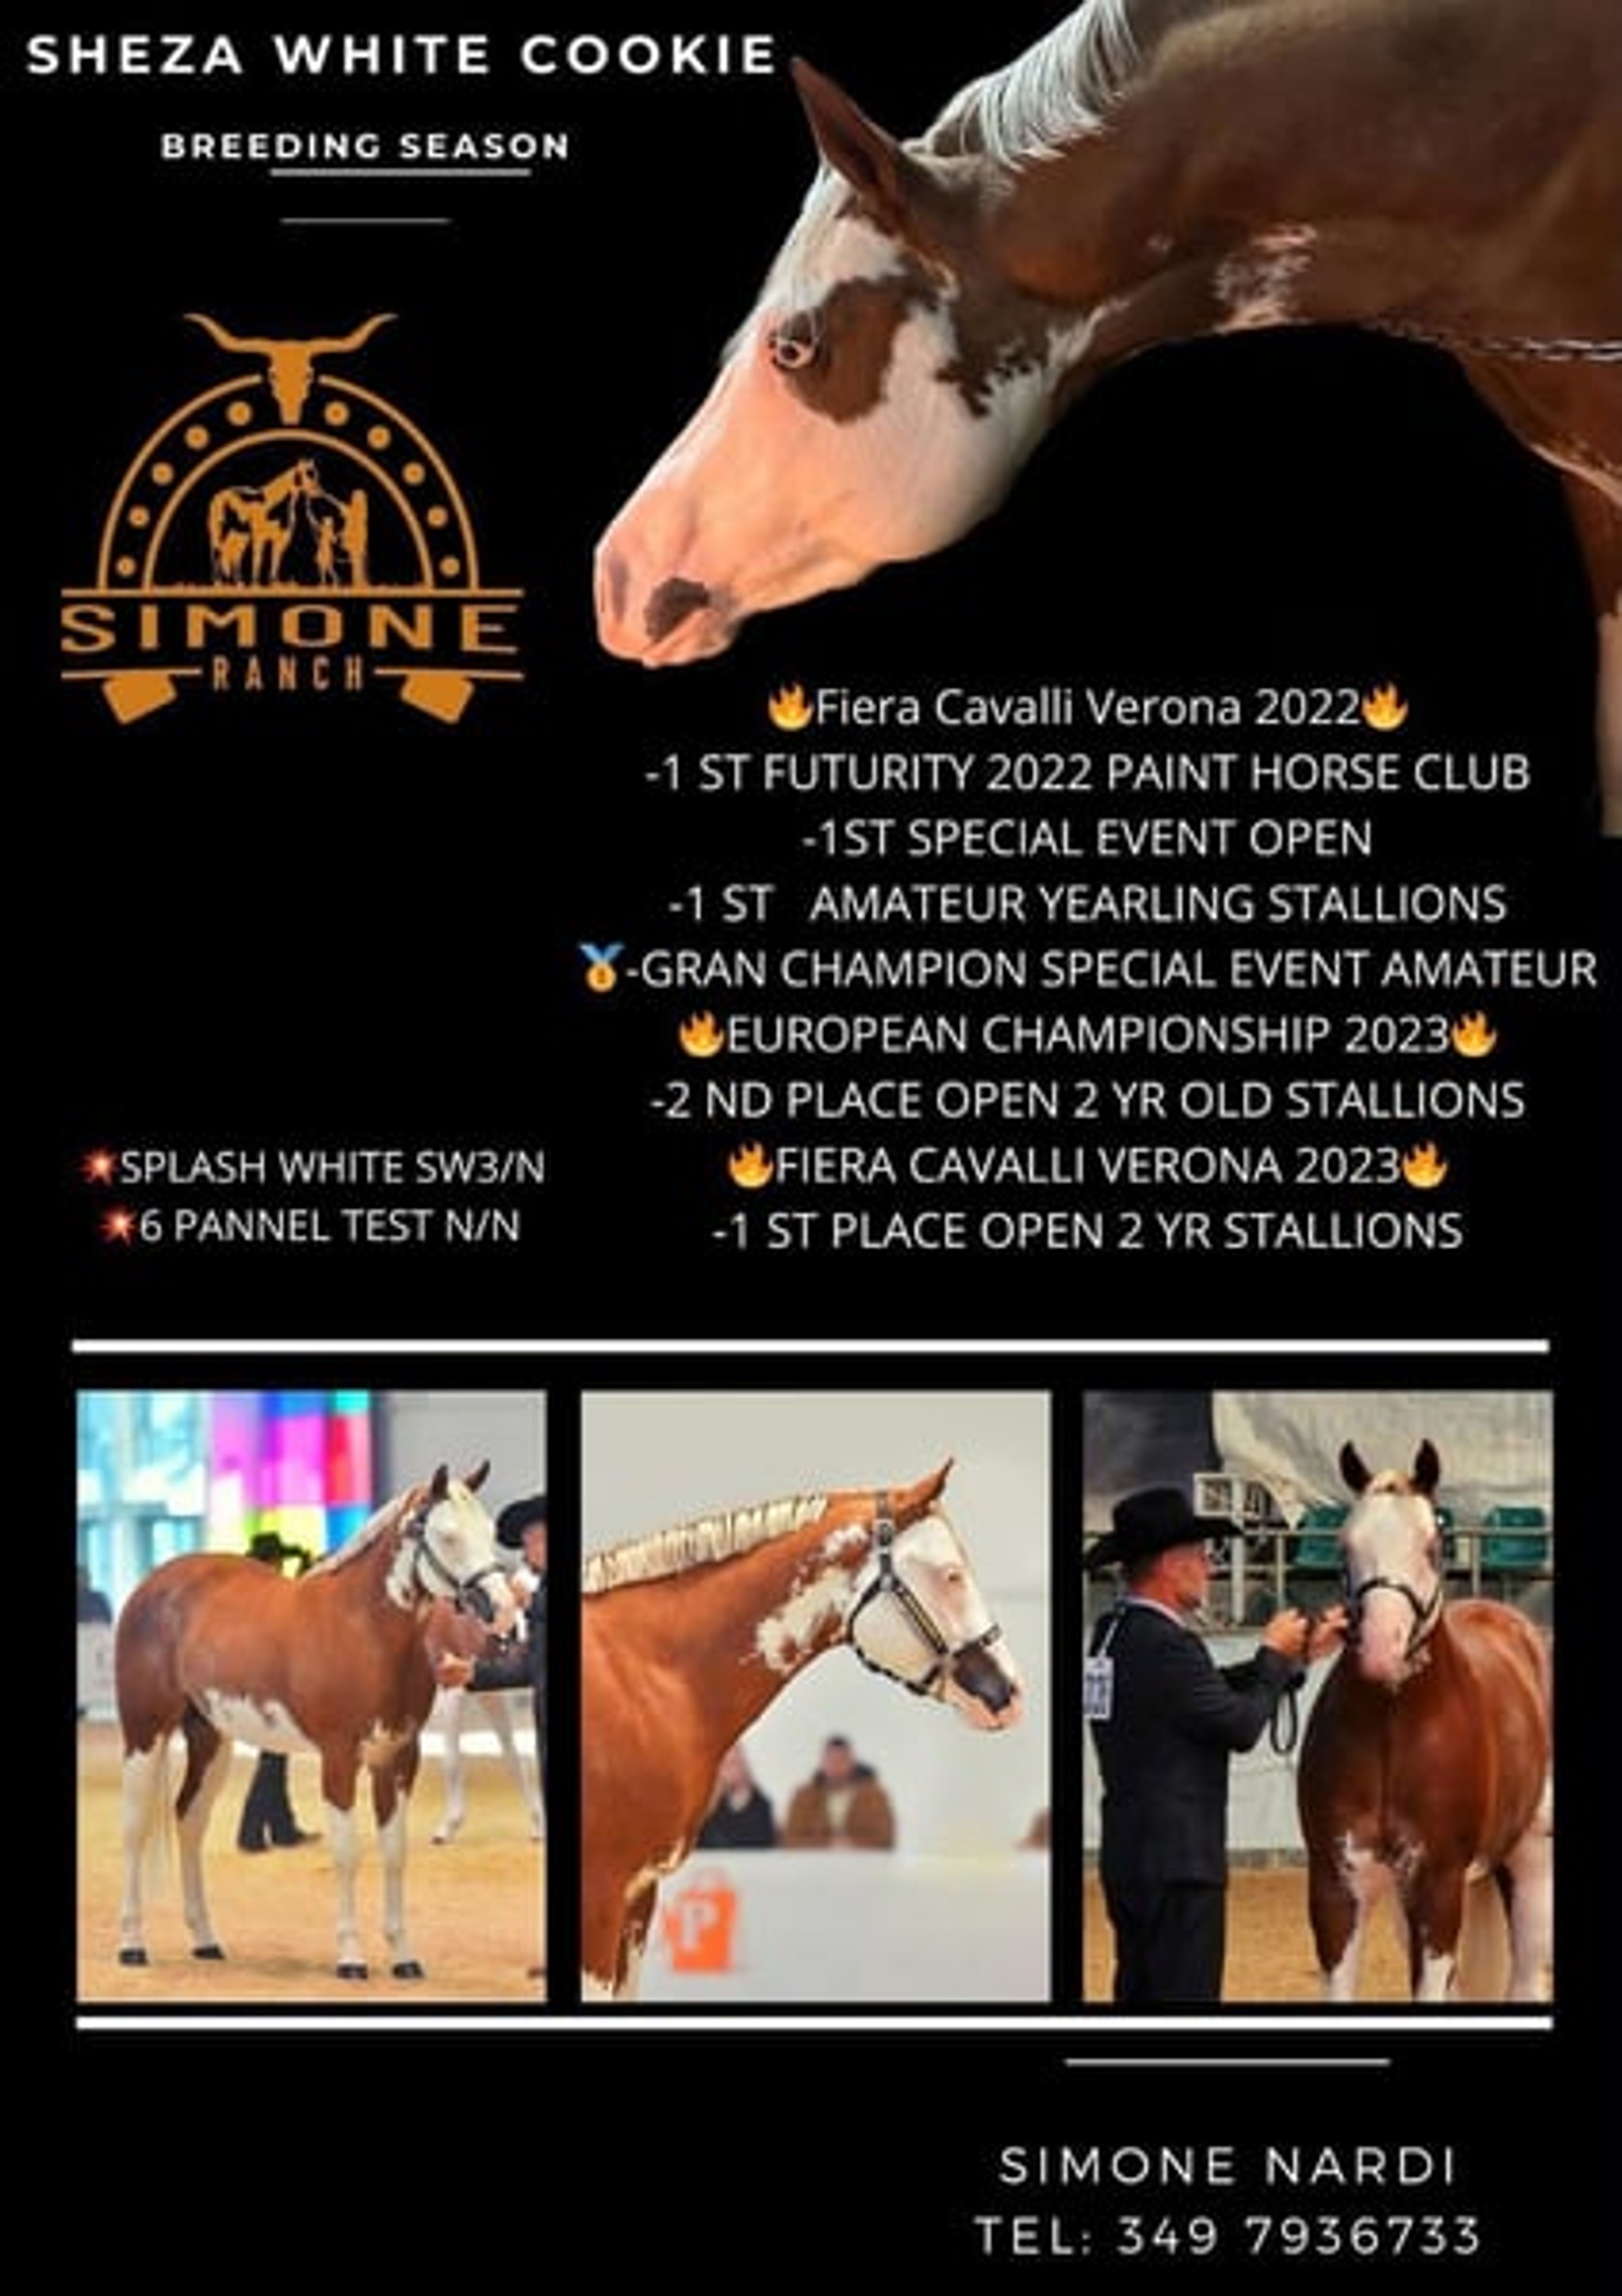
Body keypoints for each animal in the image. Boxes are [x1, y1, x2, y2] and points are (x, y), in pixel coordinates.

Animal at [114, 1462, 515, 1981]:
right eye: (447, 1535)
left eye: (488, 1531)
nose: (504, 1611)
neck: (364, 1629)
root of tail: (151, 1586)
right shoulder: (339, 1757)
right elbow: (347, 1854)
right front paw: (351, 1958)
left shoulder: (398, 1757)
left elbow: (394, 1853)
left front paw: (404, 1956)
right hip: (145, 1732)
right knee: (135, 1826)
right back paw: (132, 1945)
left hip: (210, 1738)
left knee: (190, 1820)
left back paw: (205, 1941)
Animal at [1296, 1440, 1554, 2002]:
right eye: (1344, 1545)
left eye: (1434, 1545)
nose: (1380, 1649)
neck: (1393, 1731)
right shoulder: (1337, 1886)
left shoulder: (1438, 1887)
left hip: (1531, 1862)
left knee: (1525, 1980)